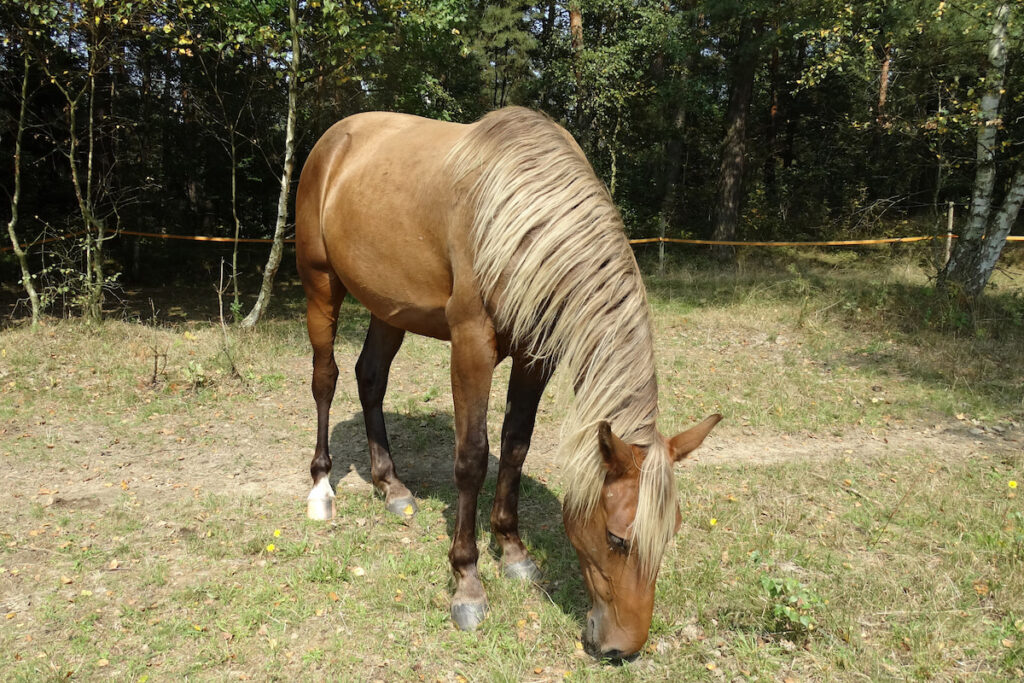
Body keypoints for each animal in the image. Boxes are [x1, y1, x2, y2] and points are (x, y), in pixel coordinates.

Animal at [292, 108, 716, 663]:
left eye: (671, 533)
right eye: (616, 538)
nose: (622, 647)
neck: (524, 216)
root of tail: (334, 140)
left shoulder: (536, 355)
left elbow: (515, 446)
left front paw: (513, 552)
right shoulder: (471, 345)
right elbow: (472, 457)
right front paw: (468, 583)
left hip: (388, 306)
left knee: (371, 378)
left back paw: (393, 486)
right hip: (321, 287)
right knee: (326, 380)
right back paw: (321, 489)